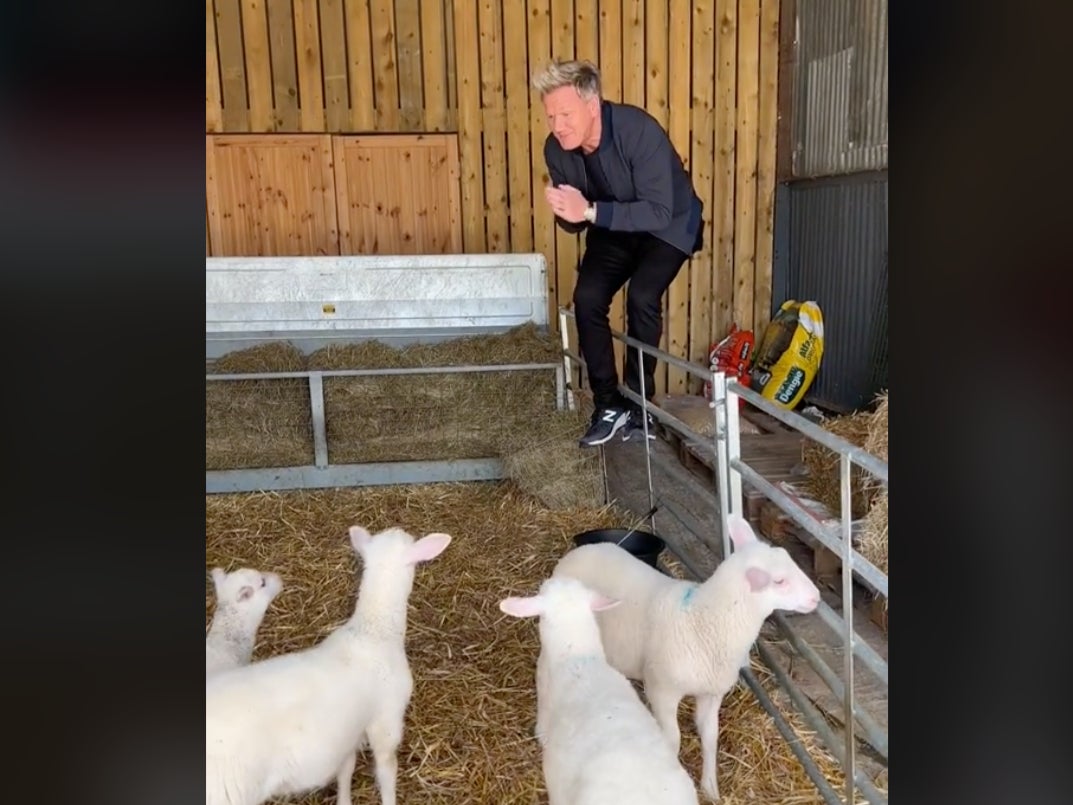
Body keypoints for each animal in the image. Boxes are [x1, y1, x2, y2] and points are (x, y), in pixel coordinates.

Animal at [551, 513, 821, 802]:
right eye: (779, 581)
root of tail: (580, 552)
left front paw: (710, 788)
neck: (704, 619)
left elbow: (710, 736)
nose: (816, 597)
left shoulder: (711, 693)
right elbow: (673, 740)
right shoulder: (662, 691)